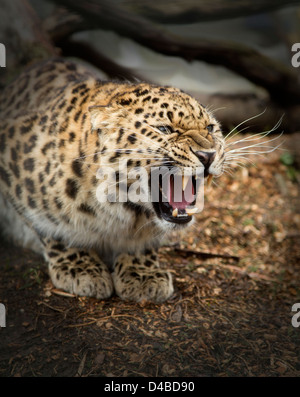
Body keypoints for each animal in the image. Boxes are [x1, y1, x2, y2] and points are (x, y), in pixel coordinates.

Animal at [0, 58, 225, 300]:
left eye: (211, 128)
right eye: (164, 129)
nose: (208, 155)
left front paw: (142, 272)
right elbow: (50, 229)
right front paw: (80, 267)